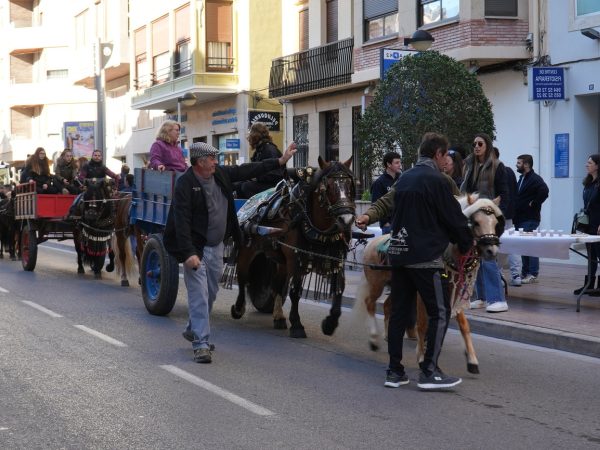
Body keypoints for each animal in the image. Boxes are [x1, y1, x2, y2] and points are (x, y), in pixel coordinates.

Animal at [227, 157, 354, 338]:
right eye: (328, 187)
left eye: (350, 185)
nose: (346, 220)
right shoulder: (296, 258)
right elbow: (295, 291)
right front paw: (297, 324)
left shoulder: (336, 257)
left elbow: (339, 289)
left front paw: (330, 323)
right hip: (248, 249)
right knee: (243, 277)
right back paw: (238, 308)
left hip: (281, 261)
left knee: (277, 285)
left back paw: (278, 317)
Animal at [354, 193, 504, 372]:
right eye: (476, 222)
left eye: (495, 223)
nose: (491, 251)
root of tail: (371, 243)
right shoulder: (424, 292)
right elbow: (422, 323)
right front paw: (421, 357)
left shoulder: (453, 292)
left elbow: (463, 324)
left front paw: (471, 359)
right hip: (377, 284)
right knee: (369, 303)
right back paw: (374, 338)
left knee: (387, 306)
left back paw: (387, 336)